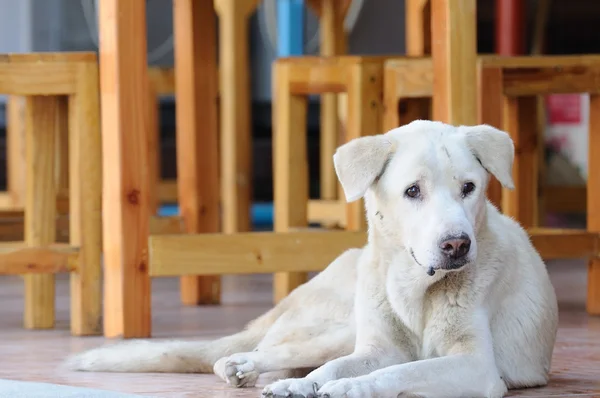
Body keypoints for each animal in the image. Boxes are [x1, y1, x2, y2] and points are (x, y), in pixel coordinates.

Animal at [65, 121, 556, 398]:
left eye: (469, 188)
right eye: (413, 191)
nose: (457, 245)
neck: (412, 286)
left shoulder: (476, 366)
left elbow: (399, 370)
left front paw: (349, 388)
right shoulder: (376, 348)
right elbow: (340, 367)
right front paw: (306, 386)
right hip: (339, 327)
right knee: (267, 351)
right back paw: (247, 367)